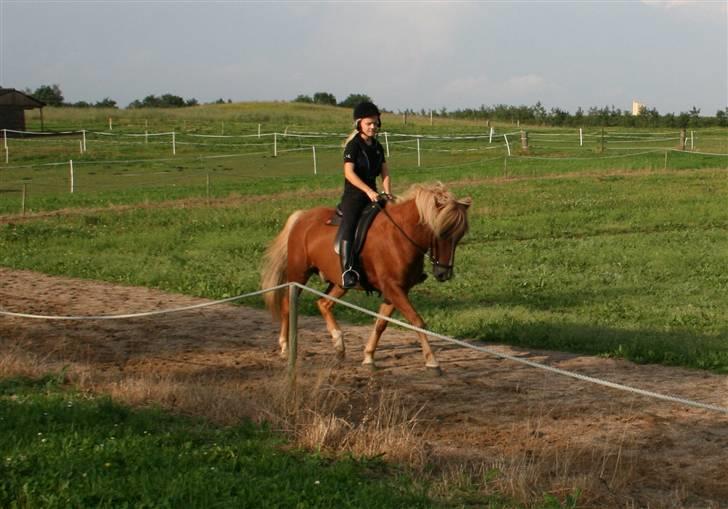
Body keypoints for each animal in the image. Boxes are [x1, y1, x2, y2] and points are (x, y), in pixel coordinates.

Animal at [262, 181, 472, 372]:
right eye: (441, 232)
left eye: (459, 236)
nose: (443, 273)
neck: (400, 235)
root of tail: (302, 217)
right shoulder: (393, 288)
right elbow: (417, 321)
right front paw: (432, 361)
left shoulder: (395, 290)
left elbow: (380, 324)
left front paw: (369, 357)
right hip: (298, 274)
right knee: (287, 305)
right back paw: (285, 347)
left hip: (339, 282)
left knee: (323, 303)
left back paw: (339, 344)